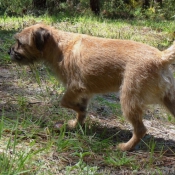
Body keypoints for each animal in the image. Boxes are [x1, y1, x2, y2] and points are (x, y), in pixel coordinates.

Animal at [8, 23, 175, 151]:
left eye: (20, 43)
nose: (9, 51)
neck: (59, 44)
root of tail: (161, 57)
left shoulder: (75, 87)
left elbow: (64, 102)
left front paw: (79, 113)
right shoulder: (84, 92)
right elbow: (80, 112)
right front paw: (76, 124)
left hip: (129, 100)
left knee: (141, 129)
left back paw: (126, 147)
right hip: (169, 100)